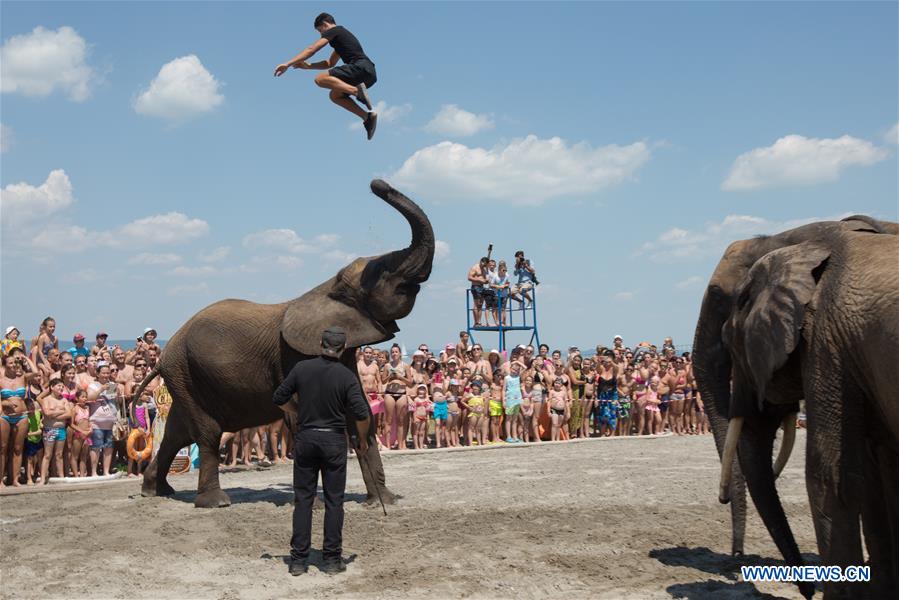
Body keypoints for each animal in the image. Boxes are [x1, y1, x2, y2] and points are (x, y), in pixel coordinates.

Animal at [135, 180, 438, 508]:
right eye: (383, 276)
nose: (376, 183)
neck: (325, 288)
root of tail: (164, 354)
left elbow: (360, 413)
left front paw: (385, 501)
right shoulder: (291, 355)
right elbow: (302, 417)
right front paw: (314, 505)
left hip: (184, 377)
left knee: (177, 432)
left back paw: (156, 491)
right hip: (185, 372)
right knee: (207, 433)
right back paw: (214, 502)